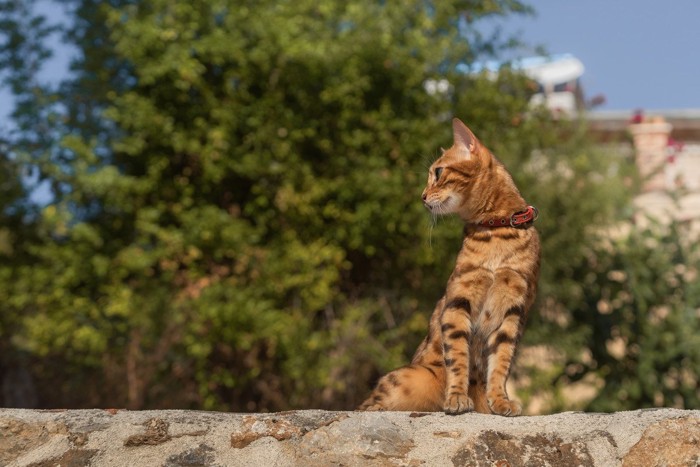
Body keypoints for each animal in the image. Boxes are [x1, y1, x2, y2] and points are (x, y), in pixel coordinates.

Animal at [360, 118, 540, 416]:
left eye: (438, 172)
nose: (422, 196)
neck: (496, 231)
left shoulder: (514, 309)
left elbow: (501, 363)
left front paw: (500, 400)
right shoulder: (458, 300)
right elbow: (458, 356)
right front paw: (456, 397)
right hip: (410, 376)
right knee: (367, 403)